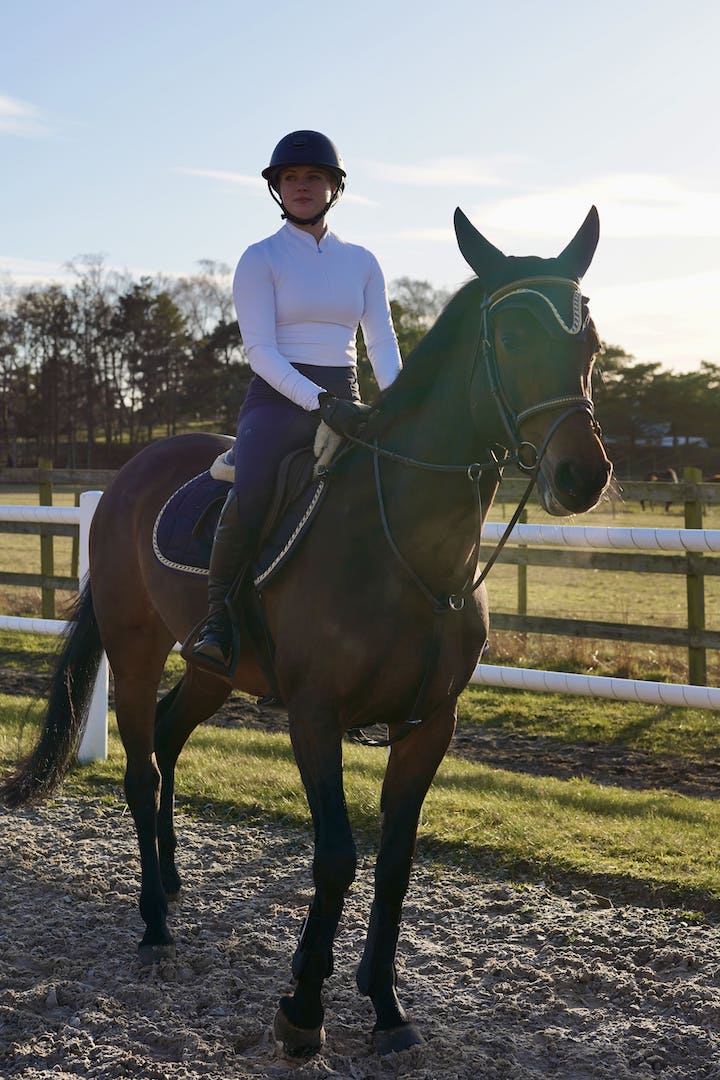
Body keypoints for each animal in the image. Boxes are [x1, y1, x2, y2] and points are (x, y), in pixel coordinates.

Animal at [2, 208, 613, 1054]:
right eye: (515, 336)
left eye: (591, 342)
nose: (583, 476)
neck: (406, 550)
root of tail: (128, 474)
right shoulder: (316, 715)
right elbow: (336, 858)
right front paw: (302, 1007)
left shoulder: (430, 725)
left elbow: (394, 863)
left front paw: (386, 1006)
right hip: (134, 647)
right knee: (143, 768)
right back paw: (154, 924)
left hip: (212, 668)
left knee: (168, 732)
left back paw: (173, 879)